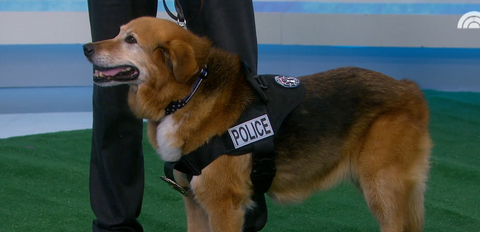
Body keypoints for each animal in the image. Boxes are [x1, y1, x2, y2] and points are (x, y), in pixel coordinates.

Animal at [84, 16, 434, 232]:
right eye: (118, 32)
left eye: (130, 40)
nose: (86, 48)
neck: (189, 93)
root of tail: (409, 89)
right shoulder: (195, 203)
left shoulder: (224, 206)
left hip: (382, 188)